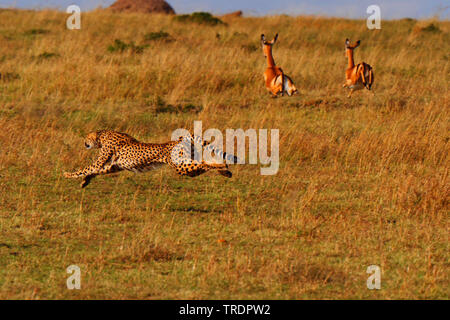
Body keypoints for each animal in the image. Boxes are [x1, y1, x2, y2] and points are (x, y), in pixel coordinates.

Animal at [65, 130, 239, 188]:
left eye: (86, 137)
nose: (84, 143)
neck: (103, 135)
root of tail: (177, 139)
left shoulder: (101, 160)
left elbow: (87, 168)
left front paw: (67, 174)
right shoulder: (114, 166)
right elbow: (96, 171)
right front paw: (84, 182)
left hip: (182, 167)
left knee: (205, 164)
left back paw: (224, 168)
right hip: (186, 166)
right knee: (203, 165)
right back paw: (226, 171)